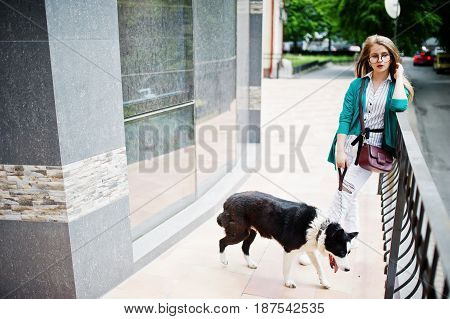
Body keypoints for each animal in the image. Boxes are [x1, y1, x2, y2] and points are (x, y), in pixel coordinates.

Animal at [217, 192, 358, 290]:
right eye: (341, 252)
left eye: (349, 253)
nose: (348, 270)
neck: (320, 228)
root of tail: (228, 200)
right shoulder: (289, 250)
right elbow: (287, 269)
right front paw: (288, 282)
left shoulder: (310, 250)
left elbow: (319, 267)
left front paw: (324, 282)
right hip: (239, 233)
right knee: (222, 242)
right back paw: (223, 260)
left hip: (251, 233)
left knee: (244, 247)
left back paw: (250, 263)